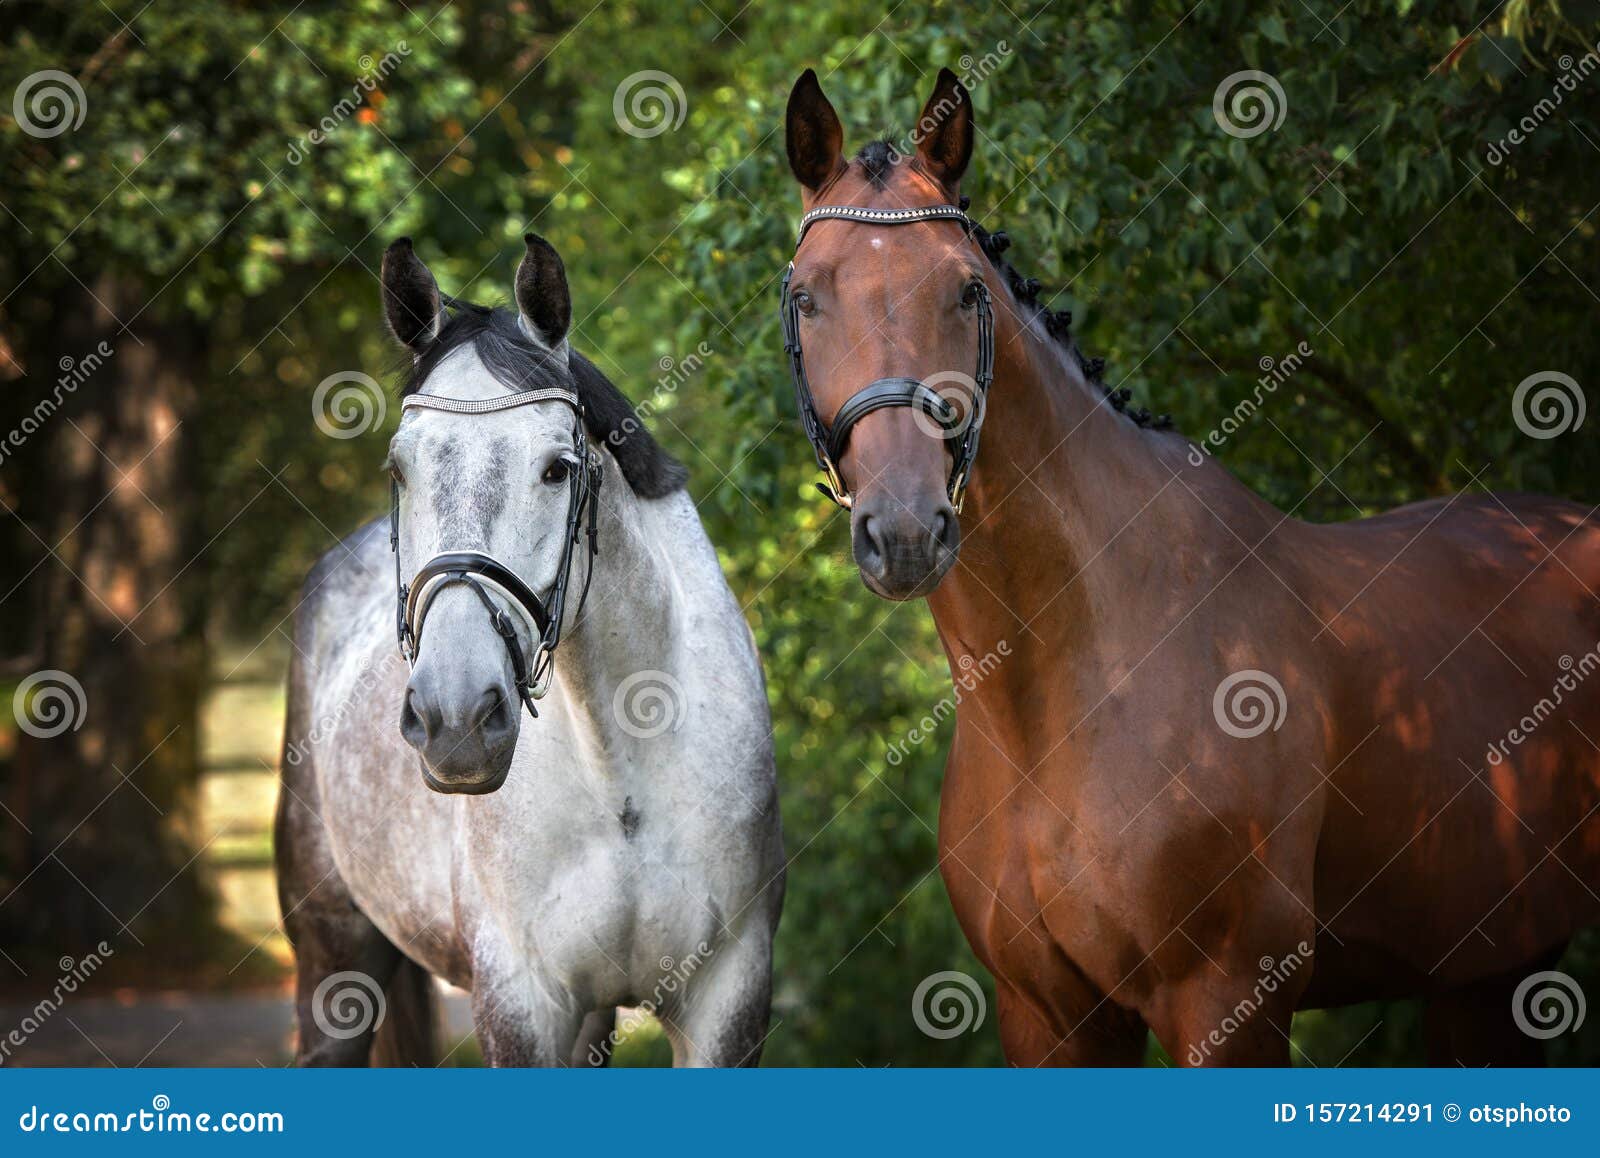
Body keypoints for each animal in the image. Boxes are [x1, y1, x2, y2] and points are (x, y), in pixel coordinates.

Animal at [275, 233, 784, 1067]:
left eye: (557, 469)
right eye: (398, 468)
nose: (454, 721)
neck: (620, 776)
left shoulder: (728, 998)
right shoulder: (520, 1002)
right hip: (333, 961)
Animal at [780, 67, 1600, 1065]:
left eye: (968, 291)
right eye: (806, 296)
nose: (903, 530)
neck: (1065, 688)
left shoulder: (1227, 996)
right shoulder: (1047, 1013)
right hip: (1491, 968)